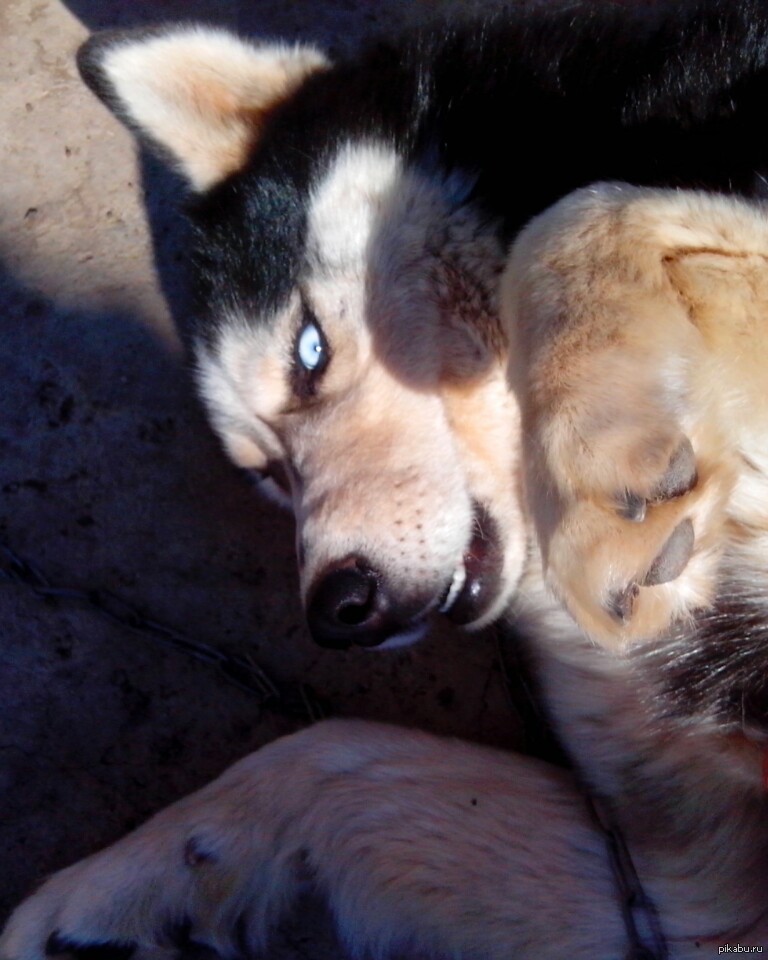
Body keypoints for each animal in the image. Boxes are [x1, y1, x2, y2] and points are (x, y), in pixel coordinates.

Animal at [4, 3, 768, 956]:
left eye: (308, 354)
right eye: (270, 475)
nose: (338, 610)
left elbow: (579, 213)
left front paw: (607, 455)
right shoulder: (696, 880)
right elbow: (333, 753)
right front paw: (116, 897)